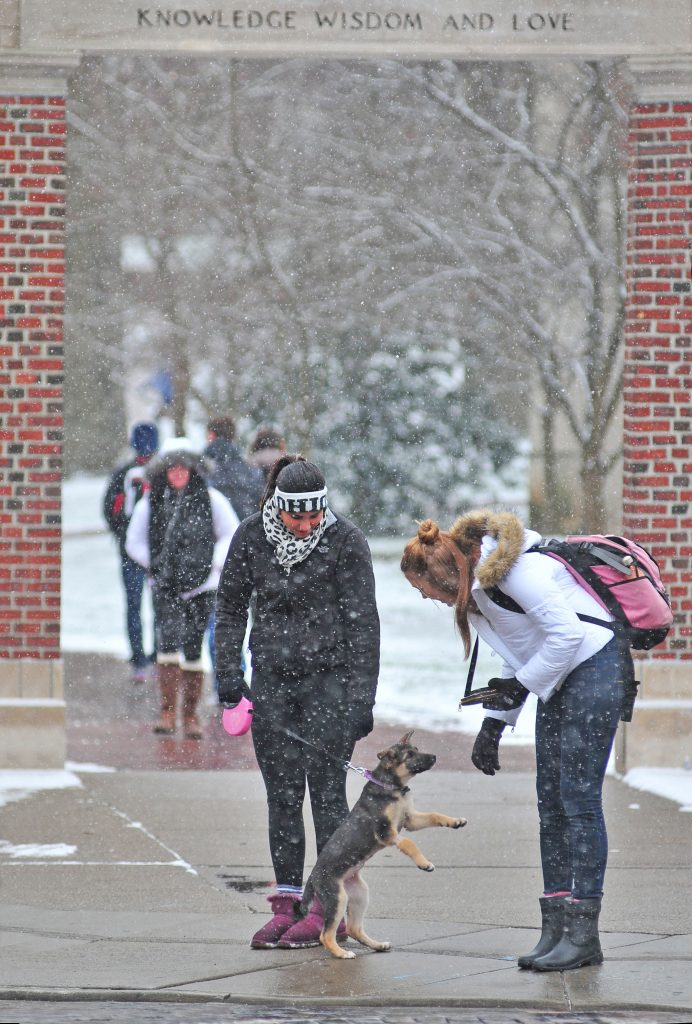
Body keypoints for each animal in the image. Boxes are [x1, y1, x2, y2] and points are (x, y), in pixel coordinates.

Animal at [296, 733, 464, 954]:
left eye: (417, 749)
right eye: (410, 755)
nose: (434, 757)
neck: (392, 788)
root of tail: (313, 877)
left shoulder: (410, 820)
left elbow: (434, 815)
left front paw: (455, 822)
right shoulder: (387, 832)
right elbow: (409, 843)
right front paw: (425, 864)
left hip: (359, 894)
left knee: (354, 928)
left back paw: (377, 945)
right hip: (336, 897)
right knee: (326, 935)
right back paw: (342, 953)